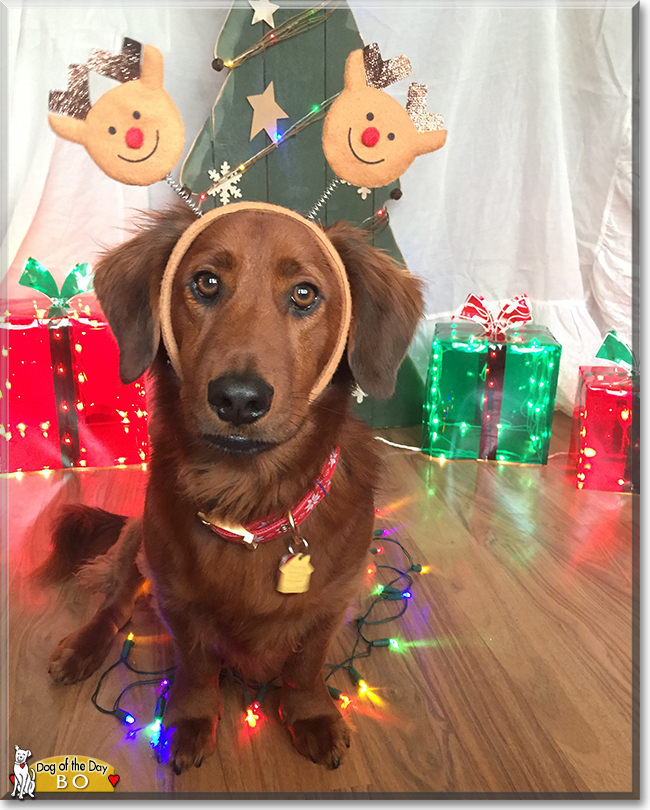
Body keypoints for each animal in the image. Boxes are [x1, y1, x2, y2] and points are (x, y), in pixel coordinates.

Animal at [44, 202, 420, 772]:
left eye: (305, 294)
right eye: (206, 282)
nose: (239, 399)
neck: (249, 500)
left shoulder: (331, 602)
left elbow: (305, 667)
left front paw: (311, 716)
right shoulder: (178, 599)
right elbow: (197, 666)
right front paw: (192, 720)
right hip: (138, 545)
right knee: (115, 604)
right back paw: (82, 647)